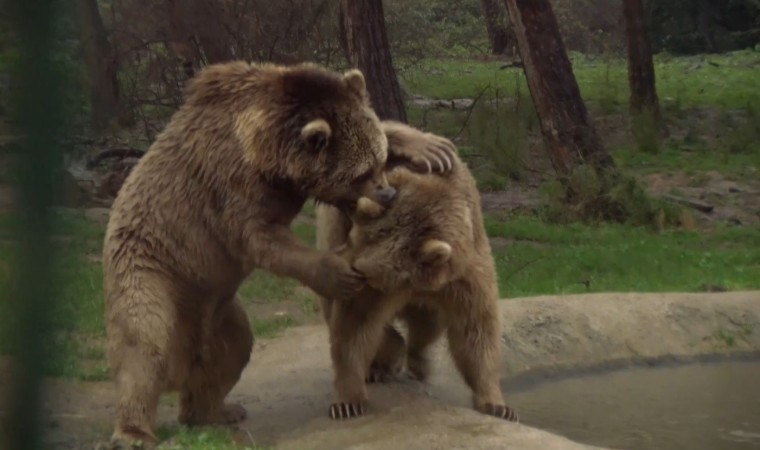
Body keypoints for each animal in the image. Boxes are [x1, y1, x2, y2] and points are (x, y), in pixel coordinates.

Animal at [103, 61, 454, 448]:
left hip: (218, 307)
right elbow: (264, 239)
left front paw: (431, 147)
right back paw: (134, 431)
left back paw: (216, 411)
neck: (267, 154)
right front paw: (339, 272)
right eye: (361, 173)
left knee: (233, 348)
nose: (388, 193)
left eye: (379, 159)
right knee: (143, 344)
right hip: (156, 267)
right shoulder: (229, 185)